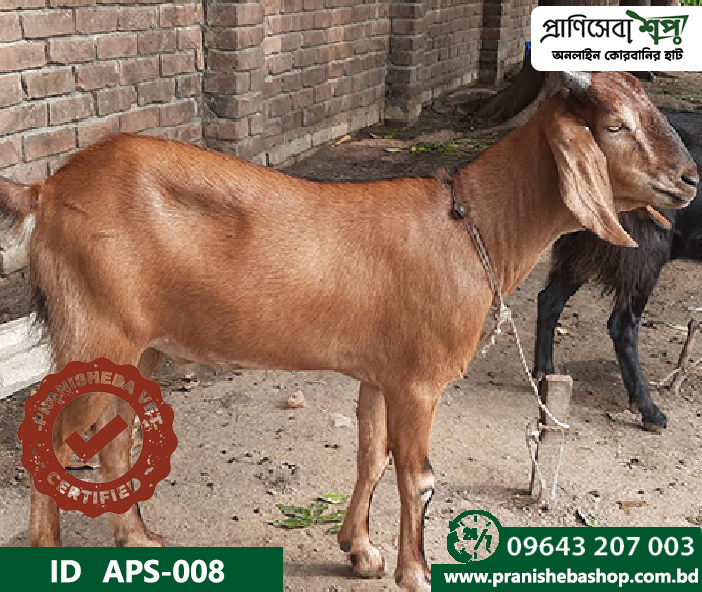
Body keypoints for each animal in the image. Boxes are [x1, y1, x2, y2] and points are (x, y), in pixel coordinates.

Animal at [534, 110, 702, 433]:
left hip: (584, 247)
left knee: (549, 300)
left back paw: (544, 374)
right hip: (643, 253)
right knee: (622, 325)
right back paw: (649, 412)